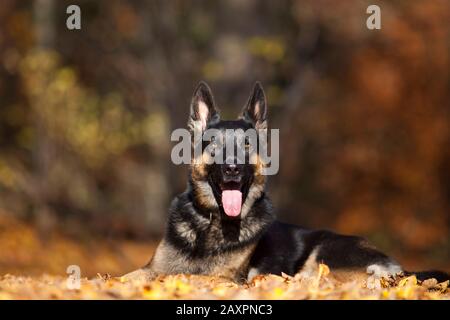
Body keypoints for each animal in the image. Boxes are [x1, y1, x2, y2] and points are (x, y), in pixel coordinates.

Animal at [123, 81, 450, 286]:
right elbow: (133, 275)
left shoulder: (225, 278)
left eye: (246, 145)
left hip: (327, 249)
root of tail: (399, 267)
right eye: (213, 145)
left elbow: (183, 276)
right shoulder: (153, 266)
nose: (232, 169)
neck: (210, 225)